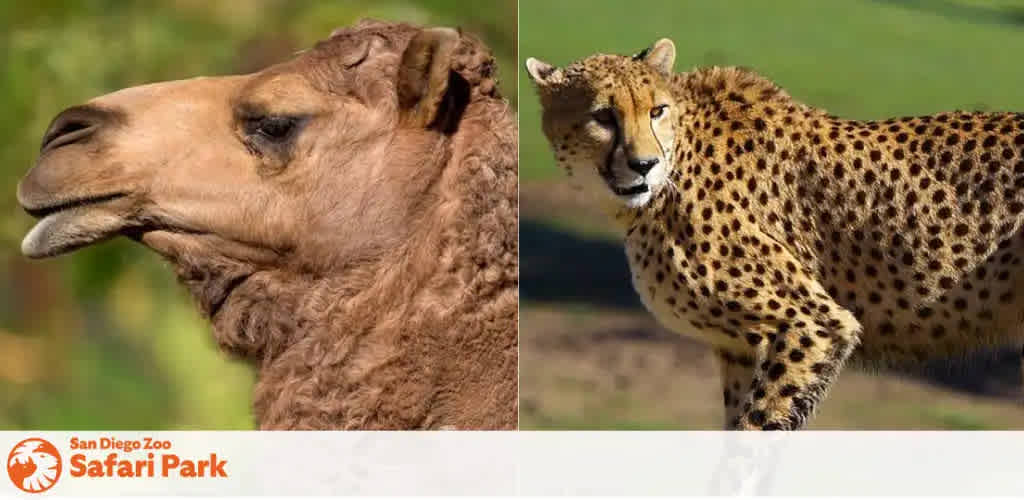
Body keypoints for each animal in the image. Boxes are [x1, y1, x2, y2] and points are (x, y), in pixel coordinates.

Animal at [532, 38, 1024, 430]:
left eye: (657, 110)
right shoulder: (739, 348)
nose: (643, 165)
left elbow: (752, 441)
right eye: (602, 116)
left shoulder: (814, 324)